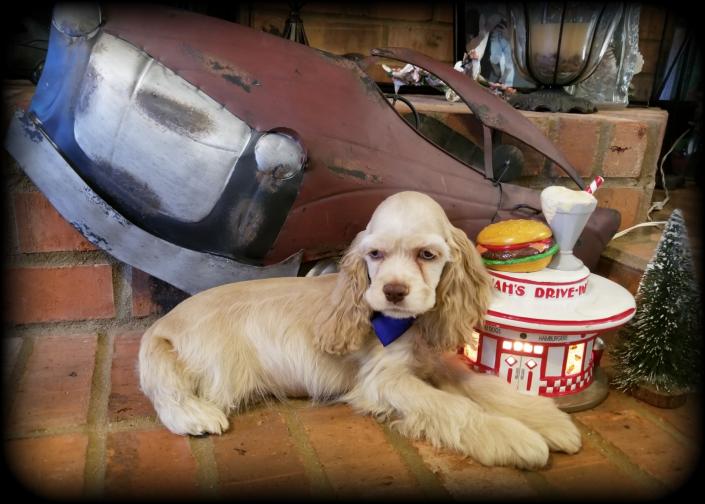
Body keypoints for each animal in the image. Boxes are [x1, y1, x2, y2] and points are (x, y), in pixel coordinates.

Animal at [138, 190, 576, 468]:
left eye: (427, 255)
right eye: (375, 254)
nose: (394, 291)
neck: (406, 326)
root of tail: (162, 324)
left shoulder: (434, 362)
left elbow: (483, 386)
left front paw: (549, 422)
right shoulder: (385, 381)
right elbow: (455, 406)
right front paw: (515, 438)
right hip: (211, 367)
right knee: (168, 394)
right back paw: (195, 416)